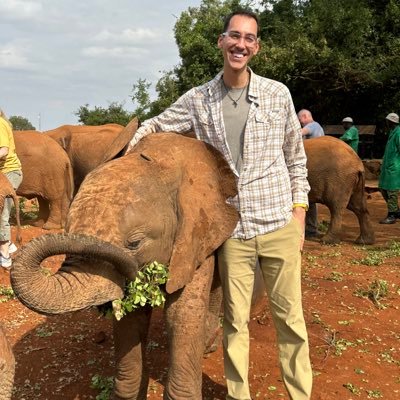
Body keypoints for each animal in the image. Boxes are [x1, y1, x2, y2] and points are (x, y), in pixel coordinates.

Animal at [10, 133, 239, 398]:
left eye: (135, 243)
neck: (159, 162)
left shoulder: (193, 233)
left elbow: (181, 314)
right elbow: (131, 320)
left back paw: (207, 346)